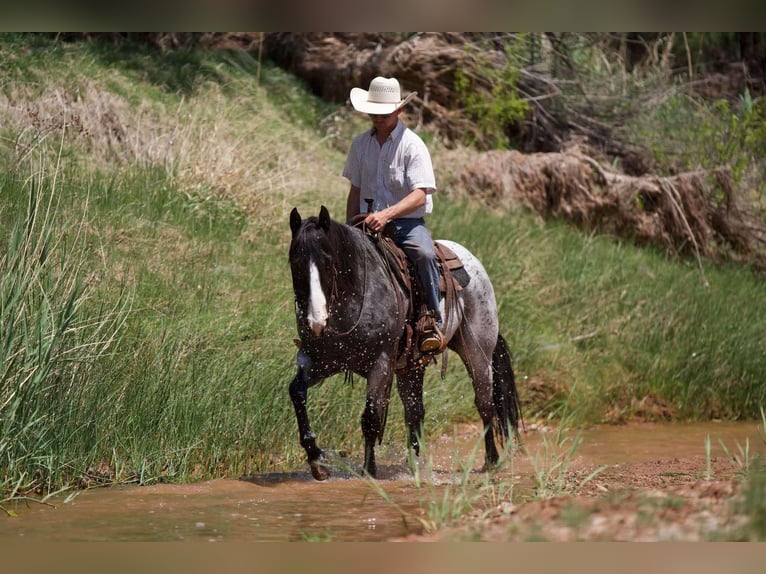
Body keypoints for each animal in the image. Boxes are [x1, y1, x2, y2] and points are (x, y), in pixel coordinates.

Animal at [288, 207, 520, 482]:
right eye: (295, 262)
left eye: (327, 261)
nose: (316, 322)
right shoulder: (321, 360)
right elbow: (297, 391)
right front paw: (316, 460)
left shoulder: (380, 362)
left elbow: (371, 416)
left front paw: (369, 471)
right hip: (412, 366)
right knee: (415, 412)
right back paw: (415, 467)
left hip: (478, 352)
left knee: (485, 403)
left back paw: (491, 461)